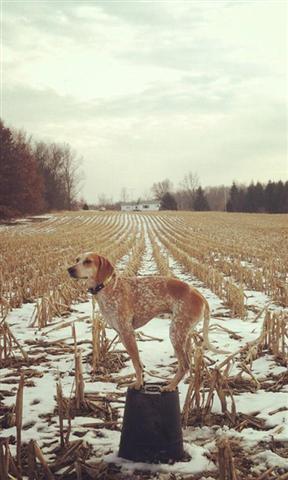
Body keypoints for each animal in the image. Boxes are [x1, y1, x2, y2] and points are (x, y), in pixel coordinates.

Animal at [67, 251, 220, 390]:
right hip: (185, 334)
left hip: (175, 333)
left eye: (88, 261)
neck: (108, 288)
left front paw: (138, 384)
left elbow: (136, 364)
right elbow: (139, 363)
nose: (70, 269)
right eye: (77, 260)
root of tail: (199, 294)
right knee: (189, 364)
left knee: (184, 365)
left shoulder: (128, 333)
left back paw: (170, 386)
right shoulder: (122, 334)